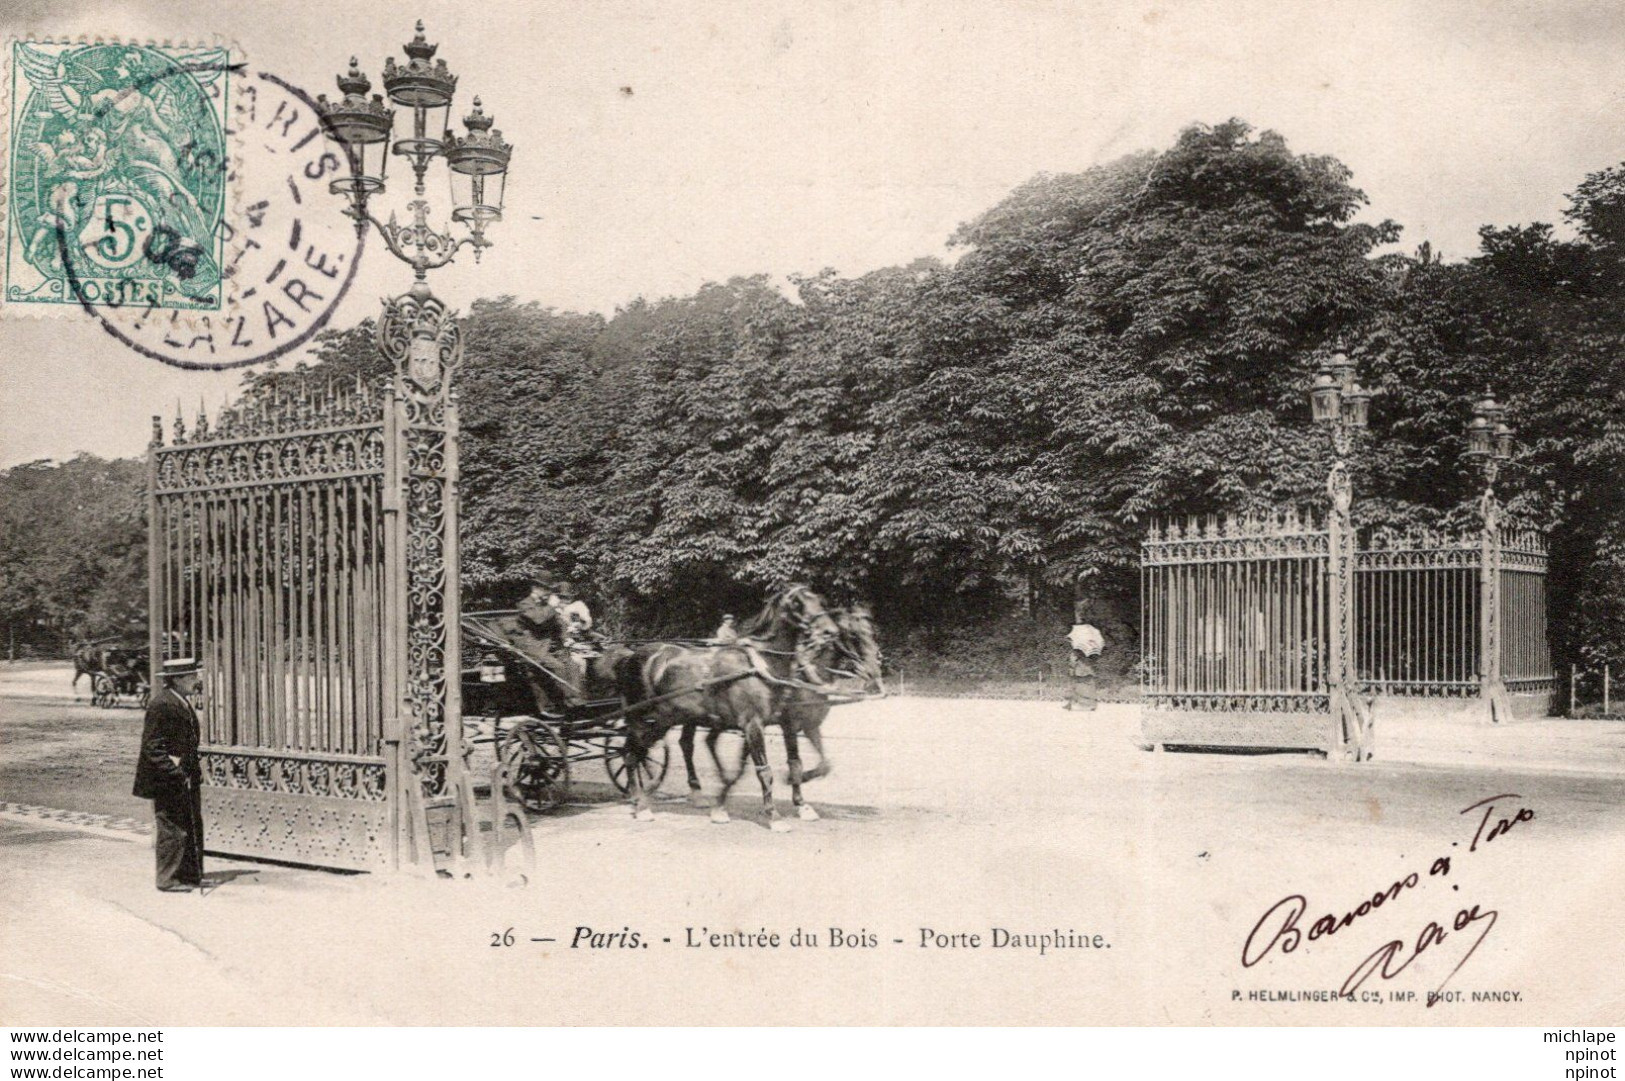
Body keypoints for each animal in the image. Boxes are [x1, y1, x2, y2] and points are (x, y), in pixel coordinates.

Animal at [611, 585, 838, 829]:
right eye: (798, 603)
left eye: (820, 601)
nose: (829, 632)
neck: (759, 666)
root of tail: (631, 657)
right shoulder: (755, 724)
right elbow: (764, 771)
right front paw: (774, 816)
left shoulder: (769, 724)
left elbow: (759, 767)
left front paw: (721, 806)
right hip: (642, 718)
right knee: (632, 754)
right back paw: (641, 805)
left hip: (666, 720)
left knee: (646, 750)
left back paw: (642, 799)